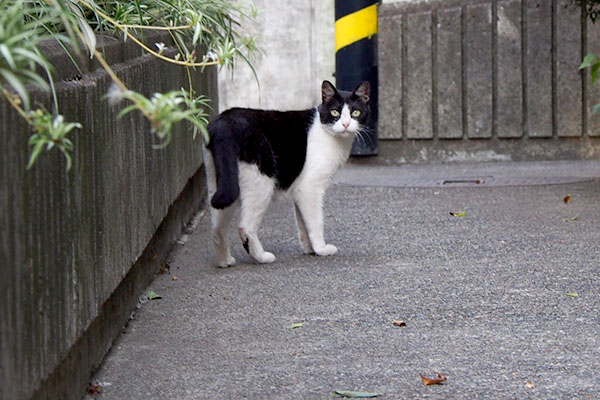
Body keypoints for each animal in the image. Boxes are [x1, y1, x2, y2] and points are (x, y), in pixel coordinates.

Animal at [204, 79, 368, 268]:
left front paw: (309, 249)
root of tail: (225, 120)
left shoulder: (300, 190)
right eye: (335, 112)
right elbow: (316, 221)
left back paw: (225, 261)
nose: (346, 124)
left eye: (356, 112)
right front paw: (321, 249)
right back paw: (262, 257)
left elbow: (303, 222)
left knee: (217, 229)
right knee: (245, 227)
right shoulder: (310, 188)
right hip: (261, 180)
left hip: (222, 183)